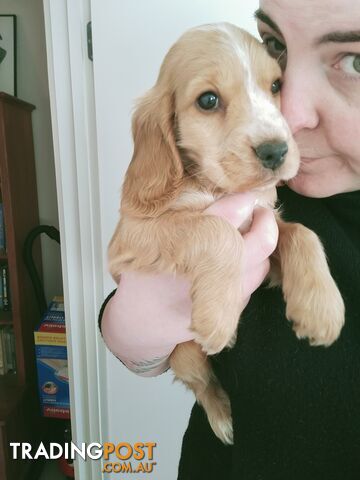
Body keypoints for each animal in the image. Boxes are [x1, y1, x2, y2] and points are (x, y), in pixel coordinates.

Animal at [108, 22, 344, 442]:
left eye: (276, 85)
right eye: (208, 100)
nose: (276, 151)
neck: (217, 188)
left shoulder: (266, 228)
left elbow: (302, 233)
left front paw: (322, 309)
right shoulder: (129, 239)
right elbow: (217, 229)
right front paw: (219, 316)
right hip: (184, 354)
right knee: (202, 384)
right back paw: (222, 415)